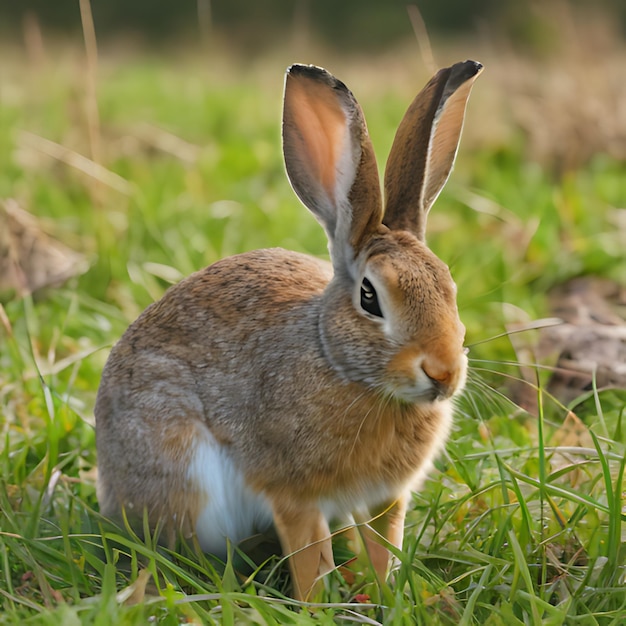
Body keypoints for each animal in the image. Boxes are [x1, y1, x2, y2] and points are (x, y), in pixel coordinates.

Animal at [95, 59, 480, 600]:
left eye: (450, 285)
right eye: (369, 297)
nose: (443, 373)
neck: (343, 366)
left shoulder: (386, 498)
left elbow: (385, 545)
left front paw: (387, 595)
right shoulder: (292, 493)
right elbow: (308, 556)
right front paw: (319, 605)